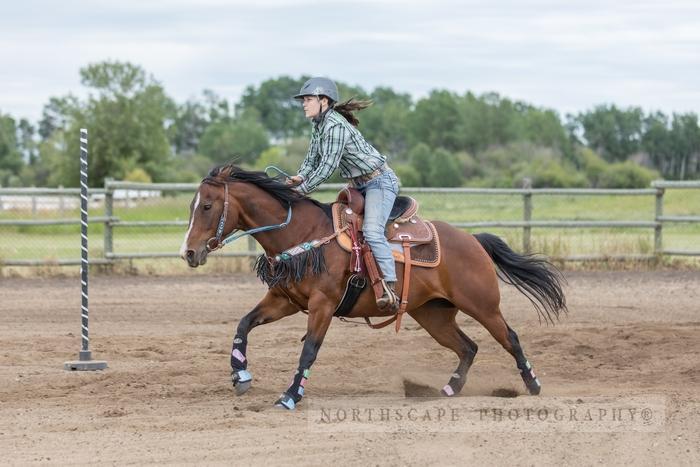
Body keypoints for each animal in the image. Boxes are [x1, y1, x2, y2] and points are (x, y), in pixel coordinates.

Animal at [180, 165, 568, 410]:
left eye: (208, 205)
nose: (189, 252)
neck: (303, 233)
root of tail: (472, 239)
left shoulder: (322, 305)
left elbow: (309, 351)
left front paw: (290, 396)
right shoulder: (283, 299)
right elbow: (243, 324)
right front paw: (240, 375)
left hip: (483, 305)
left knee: (509, 337)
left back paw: (532, 385)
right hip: (433, 315)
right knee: (468, 347)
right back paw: (449, 388)